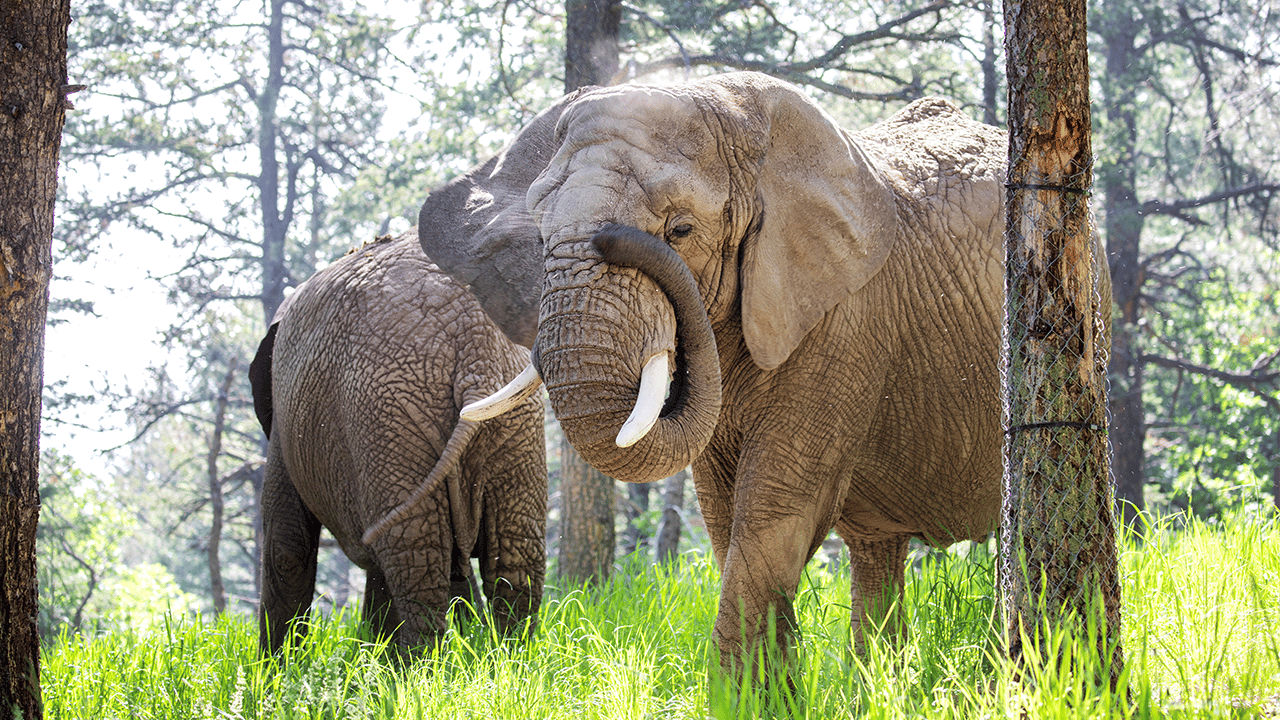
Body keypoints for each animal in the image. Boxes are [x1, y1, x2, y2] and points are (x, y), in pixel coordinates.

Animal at [248, 230, 547, 655]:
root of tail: (472, 345)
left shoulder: (285, 427)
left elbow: (287, 546)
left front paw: (273, 670)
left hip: (386, 418)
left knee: (416, 560)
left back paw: (418, 669)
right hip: (511, 423)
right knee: (514, 561)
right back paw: (508, 663)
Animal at [419, 72, 1099, 674]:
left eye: (680, 230)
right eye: (539, 239)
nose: (614, 237)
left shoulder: (844, 320)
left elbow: (775, 505)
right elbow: (724, 514)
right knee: (874, 553)